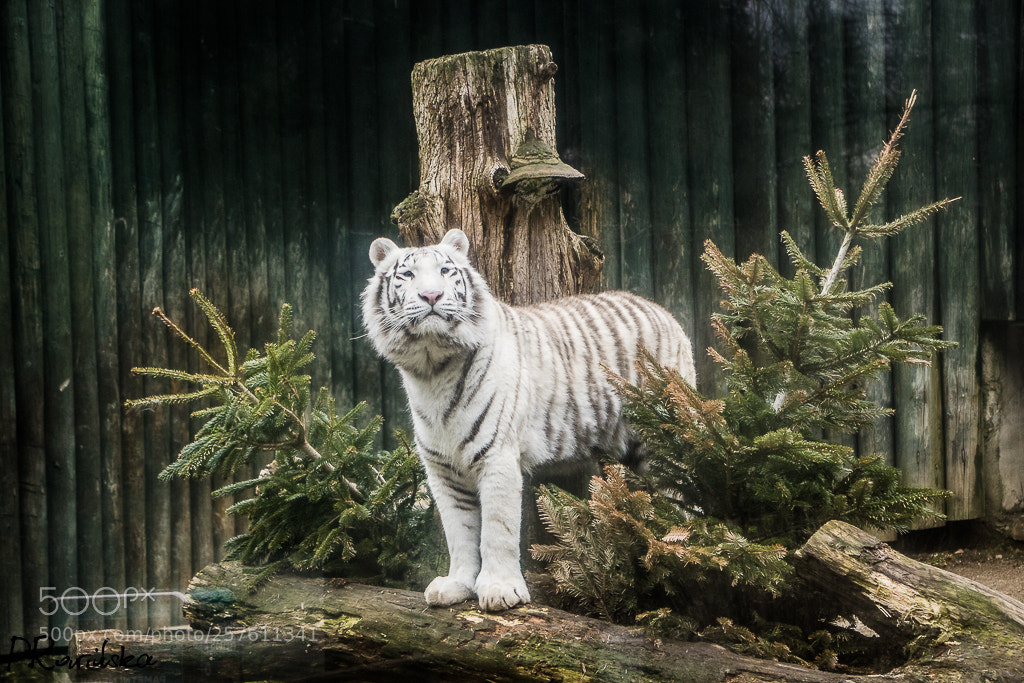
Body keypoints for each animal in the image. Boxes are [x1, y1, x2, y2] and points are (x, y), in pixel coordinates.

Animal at [361, 228, 696, 611]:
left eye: (445, 271)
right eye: (408, 274)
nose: (432, 295)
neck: (432, 369)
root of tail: (665, 313)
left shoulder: (497, 456)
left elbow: (497, 529)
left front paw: (500, 590)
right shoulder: (443, 469)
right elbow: (459, 531)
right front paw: (456, 585)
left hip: (663, 433)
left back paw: (684, 541)